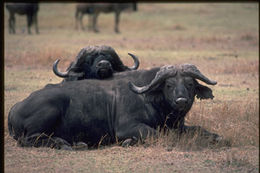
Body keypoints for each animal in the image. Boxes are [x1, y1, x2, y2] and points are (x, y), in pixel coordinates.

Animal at [7, 62, 221, 149]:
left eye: (190, 84)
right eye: (168, 85)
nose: (181, 101)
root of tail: (15, 108)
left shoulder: (180, 126)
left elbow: (205, 132)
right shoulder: (127, 128)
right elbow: (156, 134)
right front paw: (128, 143)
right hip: (49, 110)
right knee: (29, 139)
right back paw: (64, 144)